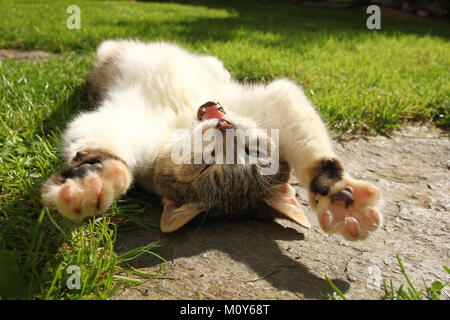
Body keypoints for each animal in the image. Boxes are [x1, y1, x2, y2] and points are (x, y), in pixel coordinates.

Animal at [42, 39, 382, 240]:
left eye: (250, 150)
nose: (225, 127)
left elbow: (315, 154)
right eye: (208, 164)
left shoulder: (277, 100)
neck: (185, 117)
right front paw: (92, 181)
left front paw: (339, 199)